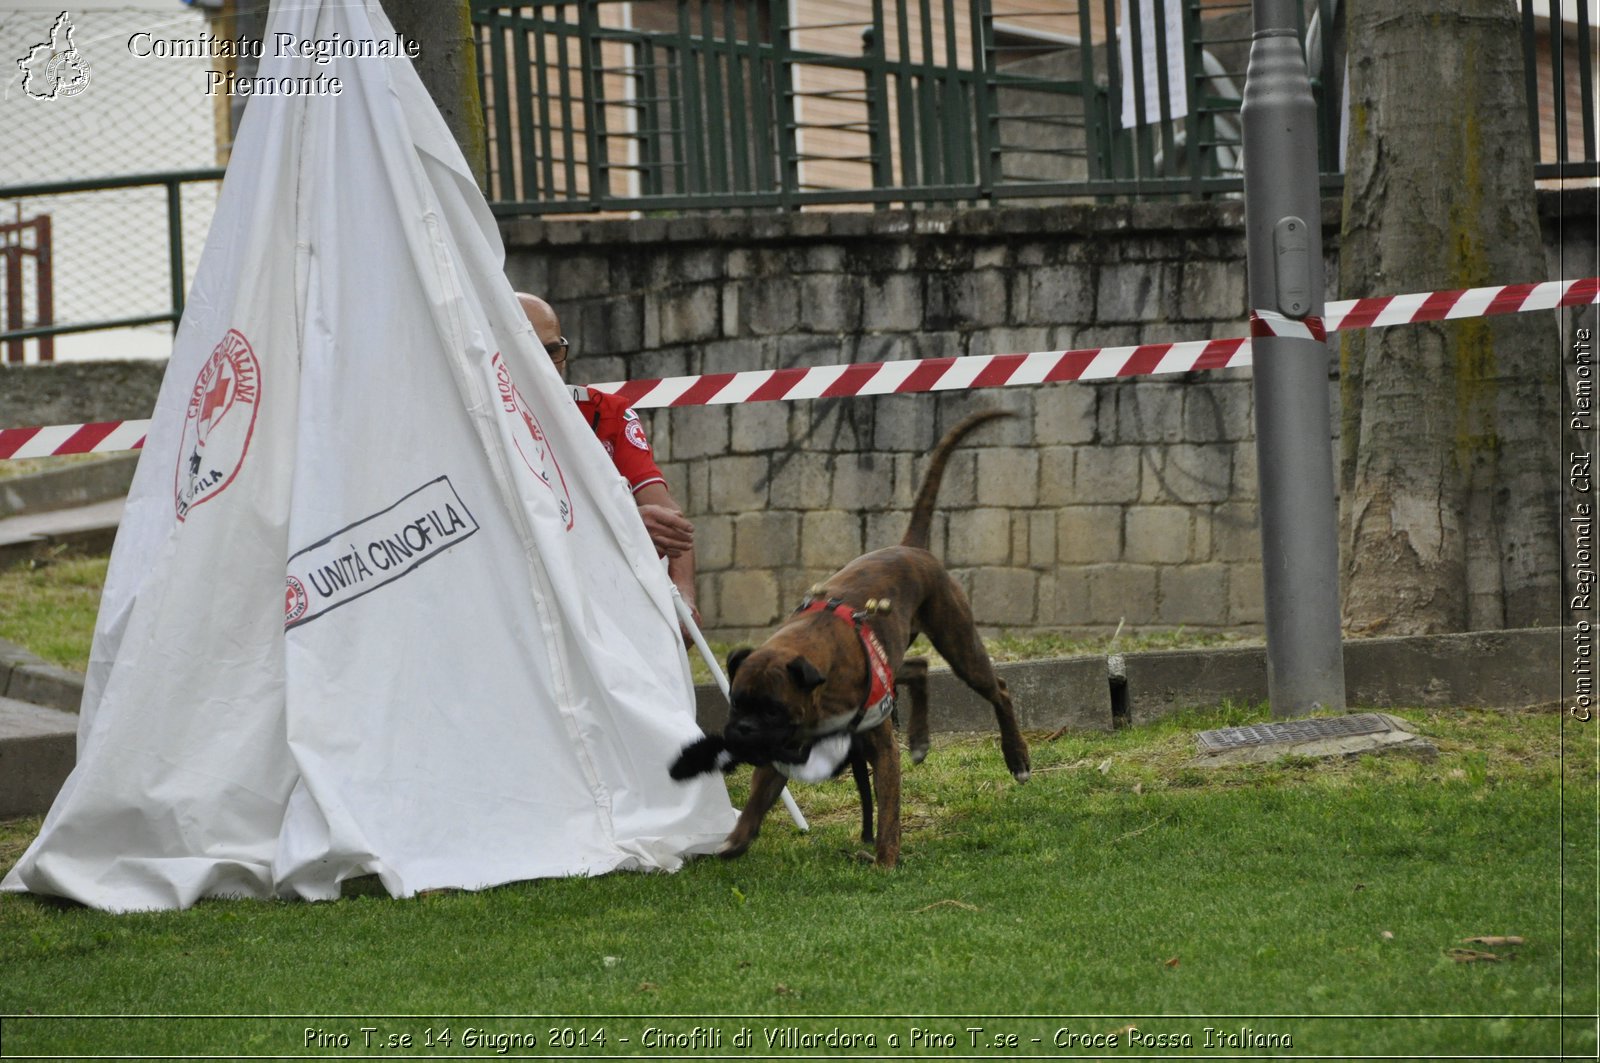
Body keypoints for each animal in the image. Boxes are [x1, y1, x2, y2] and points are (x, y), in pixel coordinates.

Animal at [668, 409, 1030, 870]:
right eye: (736, 703)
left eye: (772, 709)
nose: (742, 731)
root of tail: (910, 547)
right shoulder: (781, 752)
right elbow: (758, 799)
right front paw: (737, 839)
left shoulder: (877, 747)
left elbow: (889, 809)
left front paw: (886, 860)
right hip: (899, 655)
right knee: (918, 667)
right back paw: (920, 739)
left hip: (958, 642)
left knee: (998, 689)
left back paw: (1017, 758)